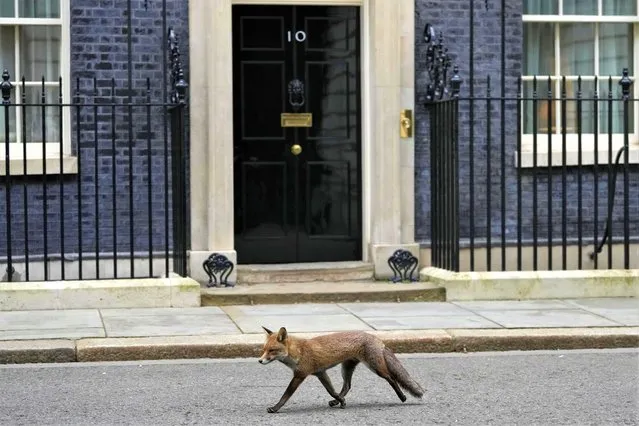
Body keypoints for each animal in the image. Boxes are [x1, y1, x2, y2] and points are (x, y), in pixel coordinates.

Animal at [255, 326, 424, 412]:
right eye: (264, 350)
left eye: (271, 351)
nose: (260, 361)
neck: (299, 352)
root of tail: (376, 338)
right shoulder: (321, 373)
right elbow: (332, 391)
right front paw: (340, 401)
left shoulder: (300, 375)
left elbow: (285, 395)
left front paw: (275, 408)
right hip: (346, 369)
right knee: (347, 386)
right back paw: (337, 402)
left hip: (375, 368)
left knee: (392, 378)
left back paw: (402, 397)